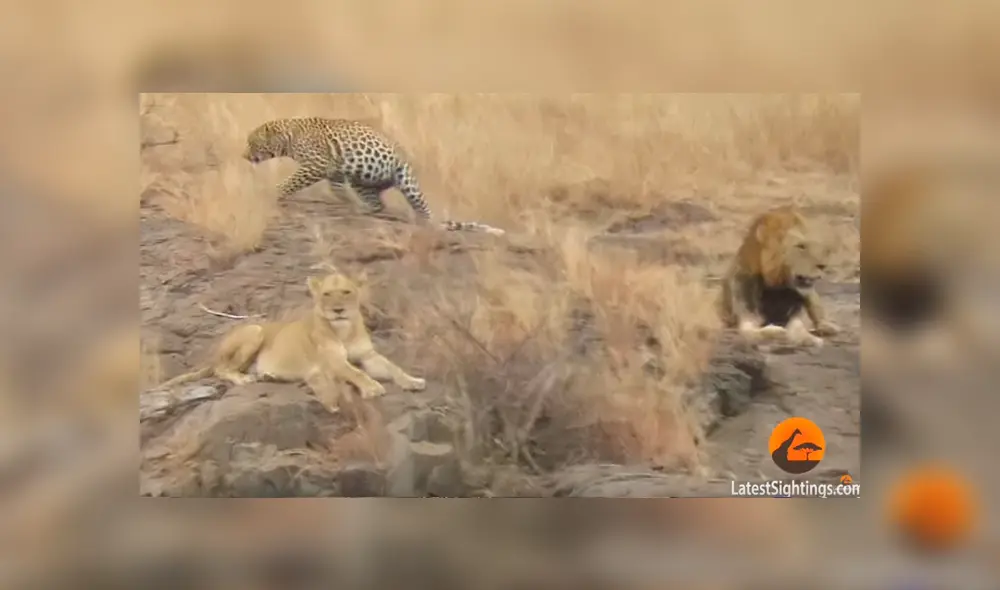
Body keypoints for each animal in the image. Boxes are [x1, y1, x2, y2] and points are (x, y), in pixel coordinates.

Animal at [158, 268, 426, 411]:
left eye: (346, 292)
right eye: (326, 294)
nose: (337, 310)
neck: (344, 328)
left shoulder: (368, 355)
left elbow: (393, 367)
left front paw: (413, 381)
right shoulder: (333, 362)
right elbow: (356, 372)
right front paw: (372, 387)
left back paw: (267, 375)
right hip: (255, 330)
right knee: (222, 369)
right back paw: (244, 378)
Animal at [242, 117, 504, 236]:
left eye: (252, 143)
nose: (244, 156)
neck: (288, 137)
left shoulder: (314, 166)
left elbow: (289, 182)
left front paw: (274, 193)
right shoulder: (335, 173)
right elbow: (338, 190)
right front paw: (346, 203)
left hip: (405, 179)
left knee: (424, 212)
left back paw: (431, 223)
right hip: (363, 182)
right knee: (378, 205)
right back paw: (363, 210)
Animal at [718, 205, 840, 348]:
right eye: (801, 246)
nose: (823, 265)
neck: (776, 286)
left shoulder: (795, 313)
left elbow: (799, 328)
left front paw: (809, 338)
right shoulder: (746, 315)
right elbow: (757, 330)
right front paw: (777, 331)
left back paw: (827, 327)